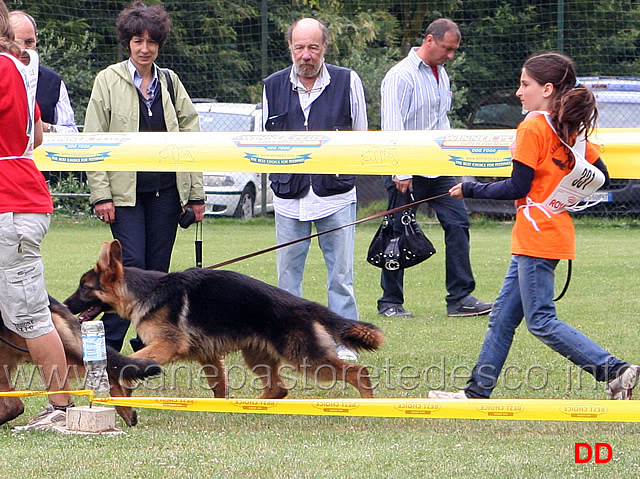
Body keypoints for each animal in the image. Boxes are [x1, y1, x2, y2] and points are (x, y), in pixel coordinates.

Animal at [65, 240, 384, 402]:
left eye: (84, 287)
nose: (64, 306)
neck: (147, 291)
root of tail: (305, 305)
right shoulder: (208, 354)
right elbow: (219, 387)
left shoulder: (166, 345)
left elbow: (135, 360)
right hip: (257, 356)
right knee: (278, 389)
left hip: (306, 360)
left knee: (358, 372)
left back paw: (367, 403)